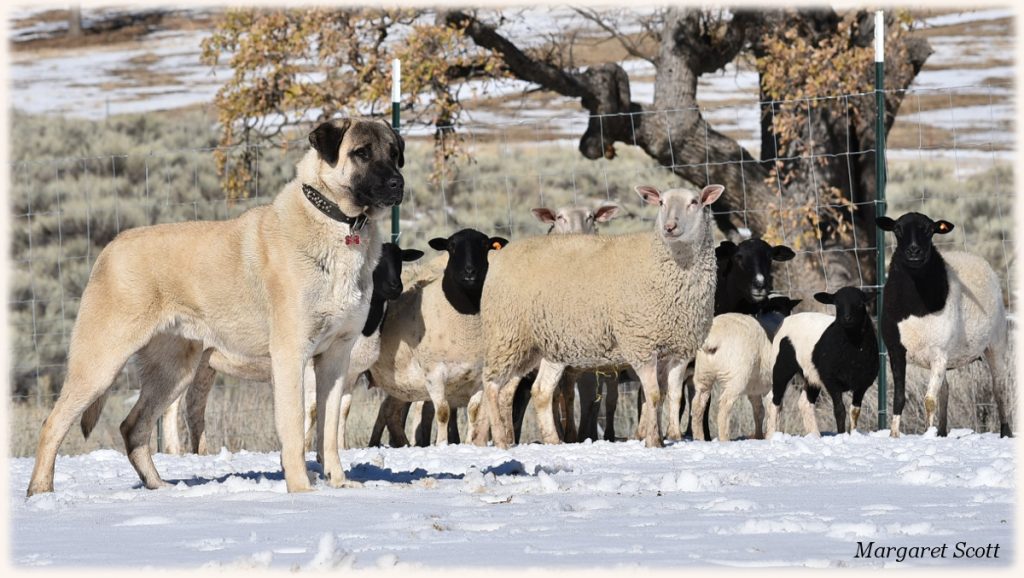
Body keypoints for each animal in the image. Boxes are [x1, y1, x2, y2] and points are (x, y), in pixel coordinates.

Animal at [25, 117, 405, 496]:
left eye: (393, 152)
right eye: (361, 153)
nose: (397, 183)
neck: (338, 224)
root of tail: (110, 248)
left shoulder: (335, 358)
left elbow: (329, 433)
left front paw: (338, 483)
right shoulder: (291, 354)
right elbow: (296, 430)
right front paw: (301, 489)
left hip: (174, 370)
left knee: (133, 427)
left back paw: (160, 487)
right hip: (101, 362)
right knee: (53, 423)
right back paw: (40, 492)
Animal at [477, 184, 720, 446]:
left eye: (694, 202)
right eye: (661, 202)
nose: (670, 227)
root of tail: (500, 256)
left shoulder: (677, 350)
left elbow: (668, 395)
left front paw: (665, 438)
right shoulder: (640, 343)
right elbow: (653, 396)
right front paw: (653, 441)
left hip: (544, 345)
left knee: (539, 391)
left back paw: (552, 441)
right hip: (507, 335)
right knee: (492, 385)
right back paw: (501, 440)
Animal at [765, 286, 876, 440]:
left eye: (860, 303)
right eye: (837, 304)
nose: (847, 318)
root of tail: (786, 319)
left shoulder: (862, 384)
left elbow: (855, 411)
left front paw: (853, 435)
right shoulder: (831, 381)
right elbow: (839, 410)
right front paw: (842, 435)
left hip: (811, 374)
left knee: (804, 403)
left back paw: (814, 436)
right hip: (781, 367)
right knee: (774, 400)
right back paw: (771, 435)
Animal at [876, 213, 1011, 438]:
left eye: (930, 230)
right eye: (897, 229)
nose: (914, 251)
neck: (914, 308)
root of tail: (975, 258)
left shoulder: (939, 352)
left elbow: (929, 400)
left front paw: (927, 434)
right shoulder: (896, 351)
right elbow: (900, 398)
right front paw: (894, 435)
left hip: (995, 344)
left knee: (999, 388)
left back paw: (1006, 432)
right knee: (945, 391)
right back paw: (941, 431)